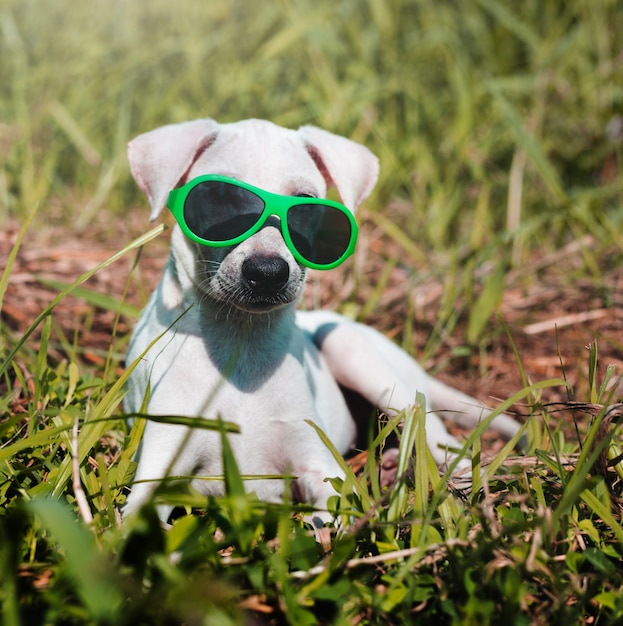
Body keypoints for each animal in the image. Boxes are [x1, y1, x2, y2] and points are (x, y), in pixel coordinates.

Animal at [123, 116, 520, 520]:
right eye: (218, 198)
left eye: (306, 204)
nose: (267, 272)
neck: (241, 340)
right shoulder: (160, 462)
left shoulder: (320, 464)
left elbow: (333, 515)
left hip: (354, 353)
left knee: (435, 432)